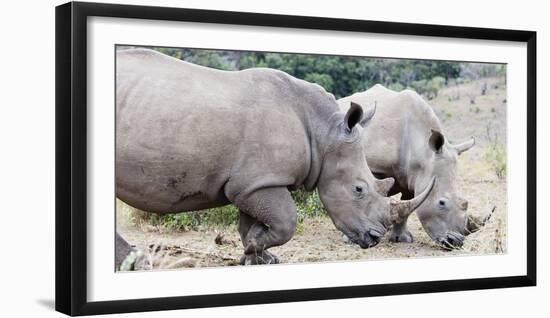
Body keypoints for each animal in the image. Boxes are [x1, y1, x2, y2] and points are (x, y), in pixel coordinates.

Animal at [115, 50, 436, 266]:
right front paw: (255, 250)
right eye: (358, 189)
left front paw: (258, 254)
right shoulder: (259, 182)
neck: (324, 134)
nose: (374, 238)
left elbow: (253, 224)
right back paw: (135, 262)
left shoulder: (254, 181)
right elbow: (286, 221)